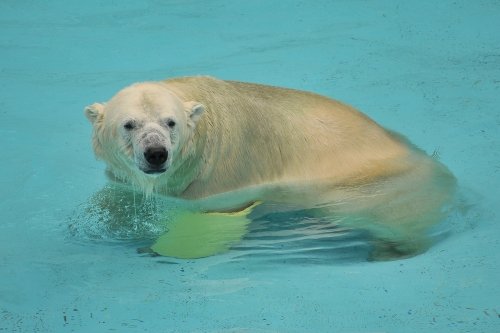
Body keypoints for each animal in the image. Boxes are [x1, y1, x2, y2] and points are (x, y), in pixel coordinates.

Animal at [86, 76, 458, 258]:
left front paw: (160, 247)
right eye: (129, 124)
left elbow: (210, 225)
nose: (156, 154)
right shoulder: (130, 177)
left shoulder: (220, 179)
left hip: (379, 190)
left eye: (170, 122)